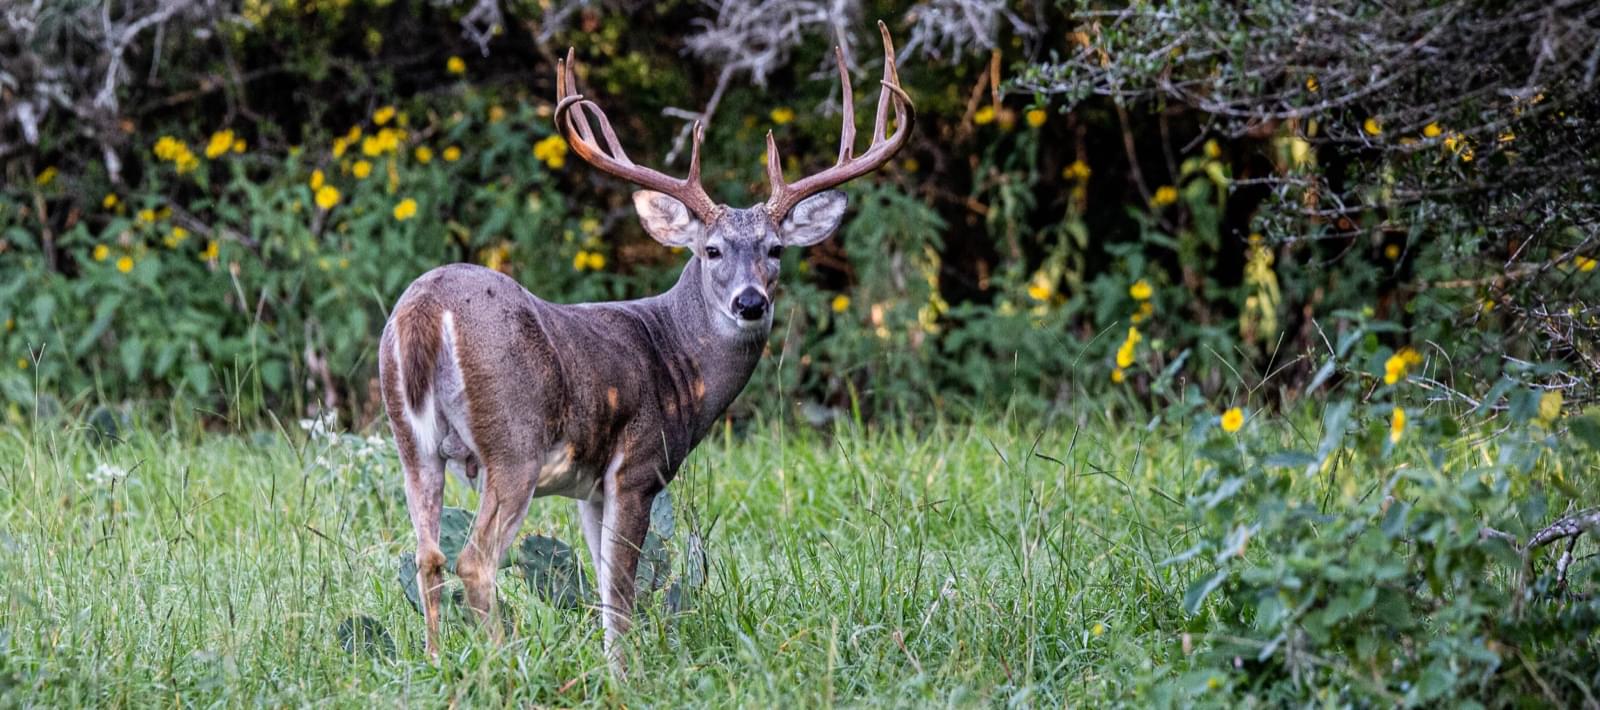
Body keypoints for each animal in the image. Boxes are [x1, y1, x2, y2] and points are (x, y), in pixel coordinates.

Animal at [377, 22, 912, 671]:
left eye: (776, 249)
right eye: (711, 250)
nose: (750, 303)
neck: (678, 358)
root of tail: (426, 309)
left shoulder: (588, 487)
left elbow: (605, 581)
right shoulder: (636, 466)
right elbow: (621, 588)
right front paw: (623, 673)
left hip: (412, 442)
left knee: (426, 555)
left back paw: (434, 662)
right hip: (513, 441)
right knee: (473, 559)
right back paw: (506, 663)